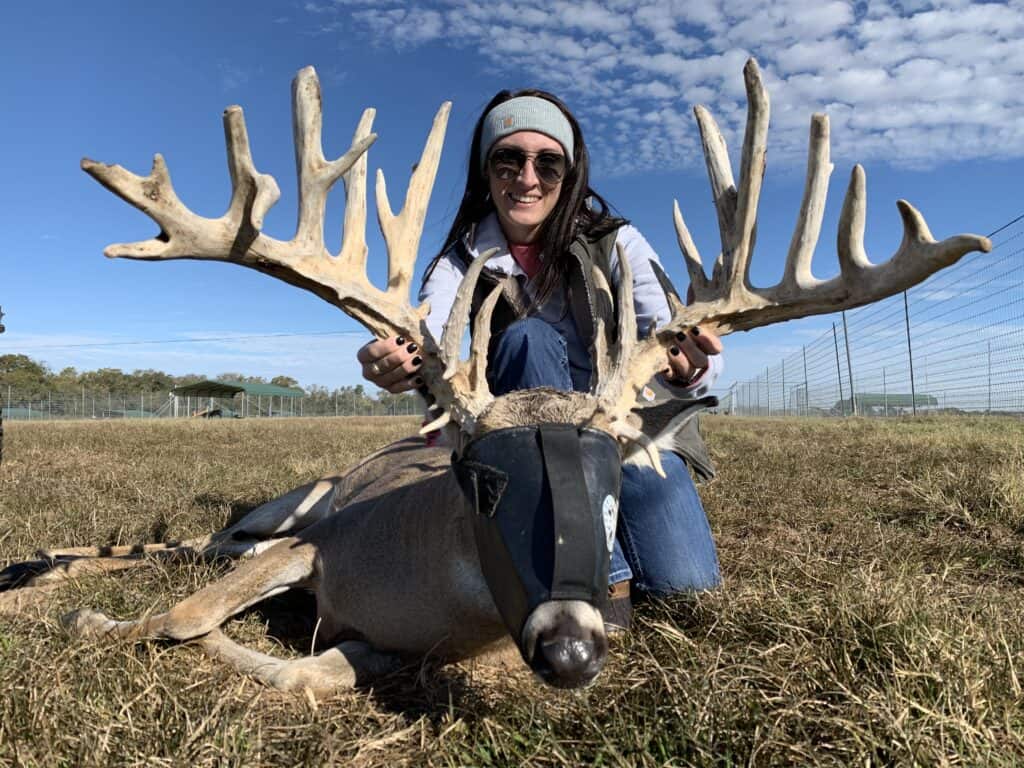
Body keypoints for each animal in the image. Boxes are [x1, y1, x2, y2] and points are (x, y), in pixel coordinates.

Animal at [0, 59, 990, 693]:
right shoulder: (311, 542)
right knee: (191, 546)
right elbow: (181, 619)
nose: (571, 650)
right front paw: (93, 626)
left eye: (615, 483)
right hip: (290, 501)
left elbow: (314, 675)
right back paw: (42, 574)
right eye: (482, 481)